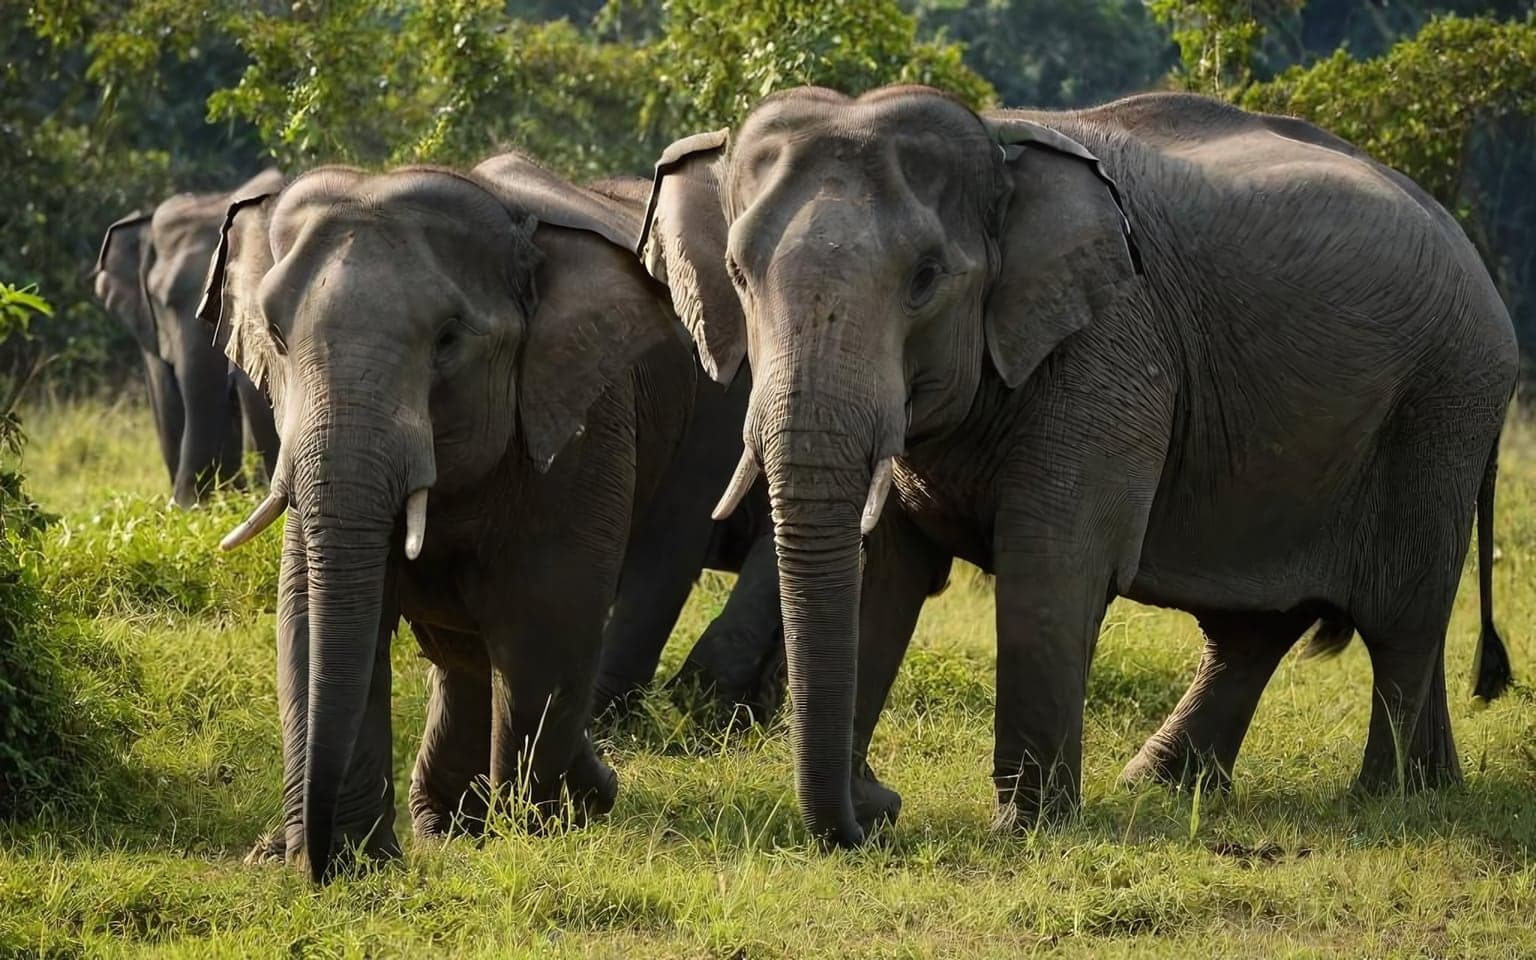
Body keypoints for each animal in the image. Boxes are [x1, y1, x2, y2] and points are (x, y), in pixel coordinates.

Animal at [199, 153, 785, 882]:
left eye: (448, 340)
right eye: (275, 337)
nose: (313, 861)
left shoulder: (579, 416)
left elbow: (545, 612)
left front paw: (532, 837)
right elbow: (307, 610)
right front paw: (348, 862)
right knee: (466, 649)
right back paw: (455, 823)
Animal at [637, 85, 1518, 847]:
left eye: (926, 279)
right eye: (741, 275)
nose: (874, 820)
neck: (1000, 154)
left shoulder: (1111, 346)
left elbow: (1052, 560)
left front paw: (1022, 833)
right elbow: (880, 566)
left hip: (1443, 405)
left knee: (1400, 617)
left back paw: (1384, 799)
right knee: (1255, 626)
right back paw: (1186, 786)